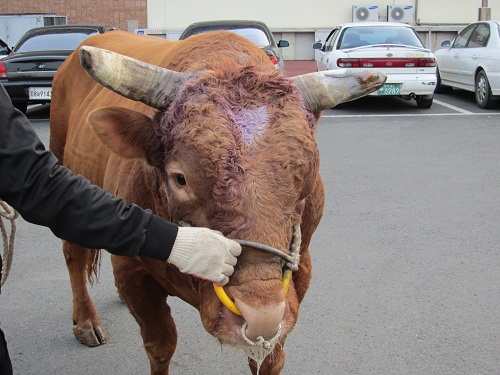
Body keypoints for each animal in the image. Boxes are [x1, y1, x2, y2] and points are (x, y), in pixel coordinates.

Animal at [48, 30, 384, 375]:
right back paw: (86, 322)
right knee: (73, 253)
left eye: (308, 176)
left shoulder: (301, 266)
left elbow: (270, 356)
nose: (261, 316)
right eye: (180, 178)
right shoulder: (133, 272)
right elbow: (161, 346)